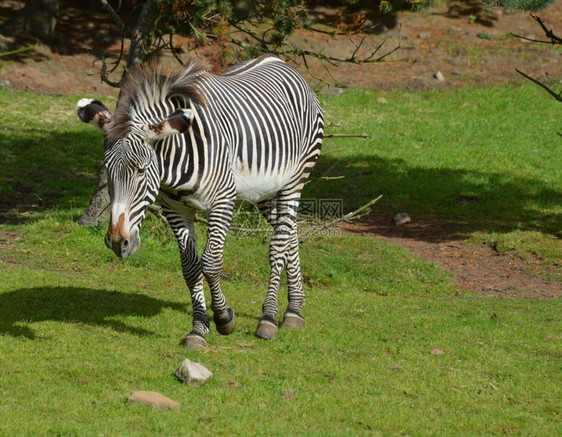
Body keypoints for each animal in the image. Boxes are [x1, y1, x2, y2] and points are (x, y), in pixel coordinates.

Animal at [79, 54, 324, 348]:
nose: (118, 242)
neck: (176, 159)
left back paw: (268, 318)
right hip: (264, 191)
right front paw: (198, 329)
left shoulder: (223, 201)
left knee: (277, 244)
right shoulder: (175, 208)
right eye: (107, 169)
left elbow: (210, 263)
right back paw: (294, 309)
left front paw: (224, 318)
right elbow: (190, 267)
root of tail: (280, 62)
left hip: (295, 179)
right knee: (288, 233)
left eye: (140, 170)